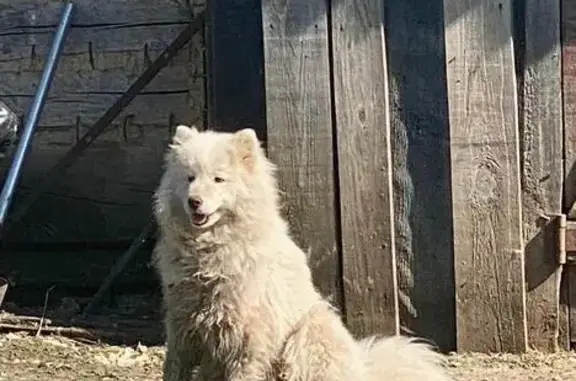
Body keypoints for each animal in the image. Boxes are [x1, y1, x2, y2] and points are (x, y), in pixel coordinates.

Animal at [153, 124, 454, 380]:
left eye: (218, 179)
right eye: (189, 178)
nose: (194, 201)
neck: (209, 250)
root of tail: (362, 370)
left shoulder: (248, 337)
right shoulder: (182, 326)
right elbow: (174, 368)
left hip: (308, 333)